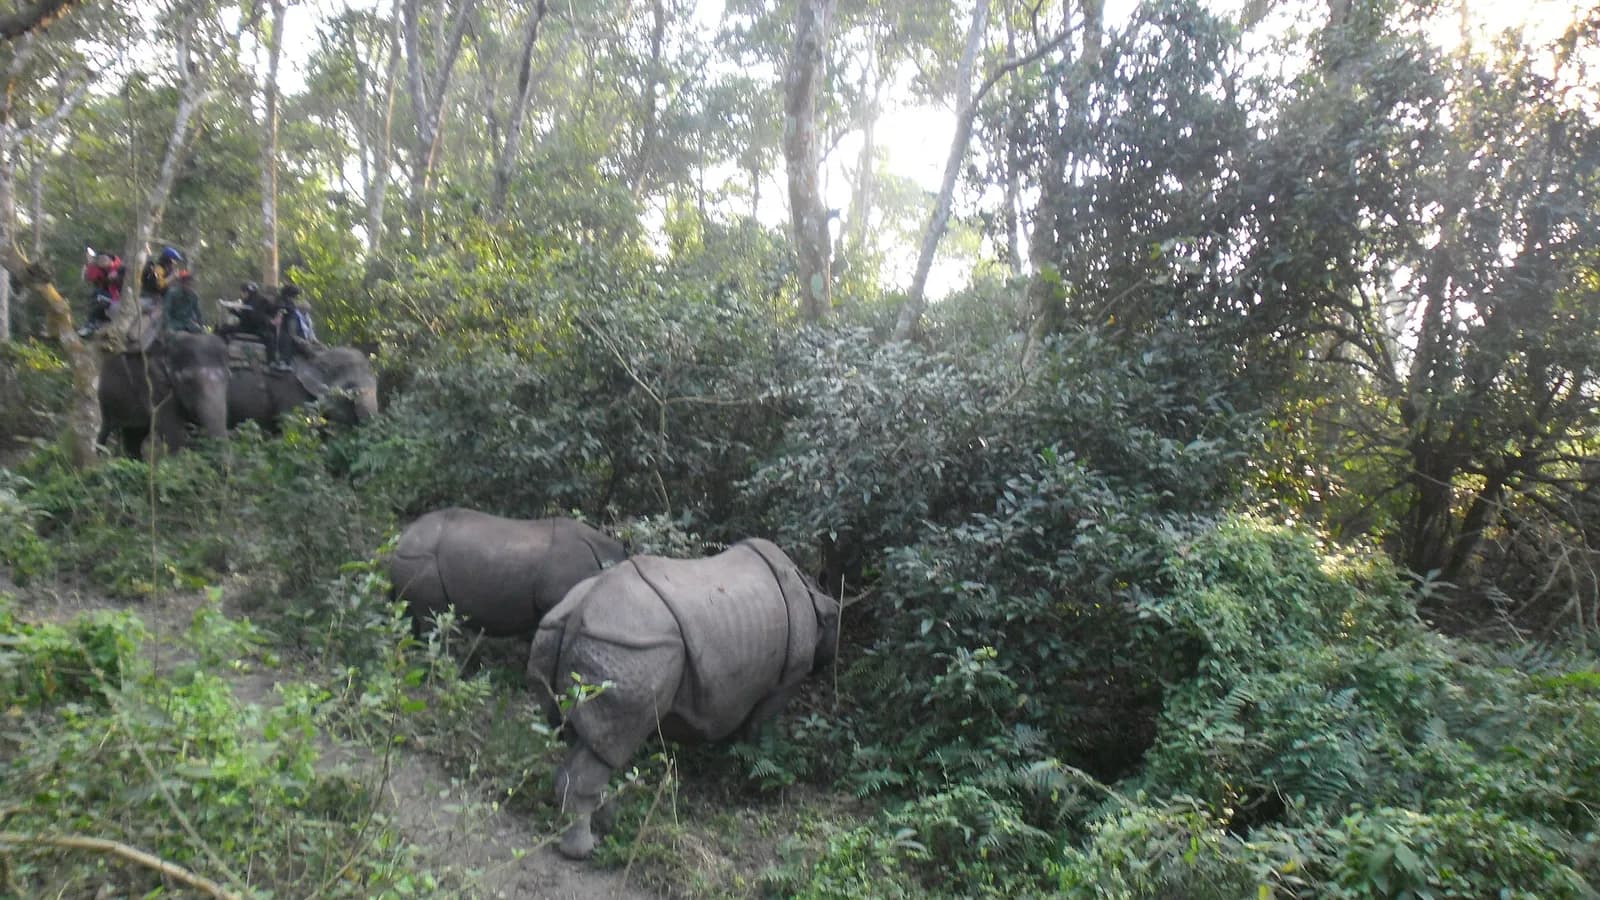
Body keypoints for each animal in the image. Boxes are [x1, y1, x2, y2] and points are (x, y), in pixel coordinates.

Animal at [526, 538, 840, 859]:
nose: (830, 659)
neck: (814, 594)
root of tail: (577, 614)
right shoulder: (785, 682)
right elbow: (760, 732)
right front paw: (755, 777)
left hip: (559, 635)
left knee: (588, 740)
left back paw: (607, 823)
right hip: (627, 648)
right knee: (612, 742)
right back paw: (584, 850)